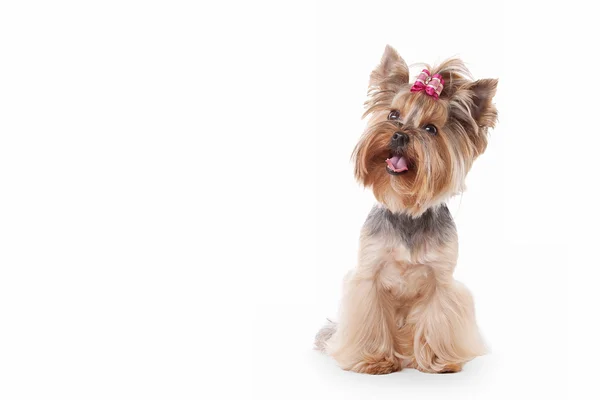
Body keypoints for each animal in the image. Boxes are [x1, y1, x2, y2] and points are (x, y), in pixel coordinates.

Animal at [314, 46, 496, 376]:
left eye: (431, 129)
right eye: (393, 115)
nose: (399, 134)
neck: (406, 209)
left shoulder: (442, 280)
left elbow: (438, 317)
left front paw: (438, 361)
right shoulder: (368, 276)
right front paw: (373, 359)